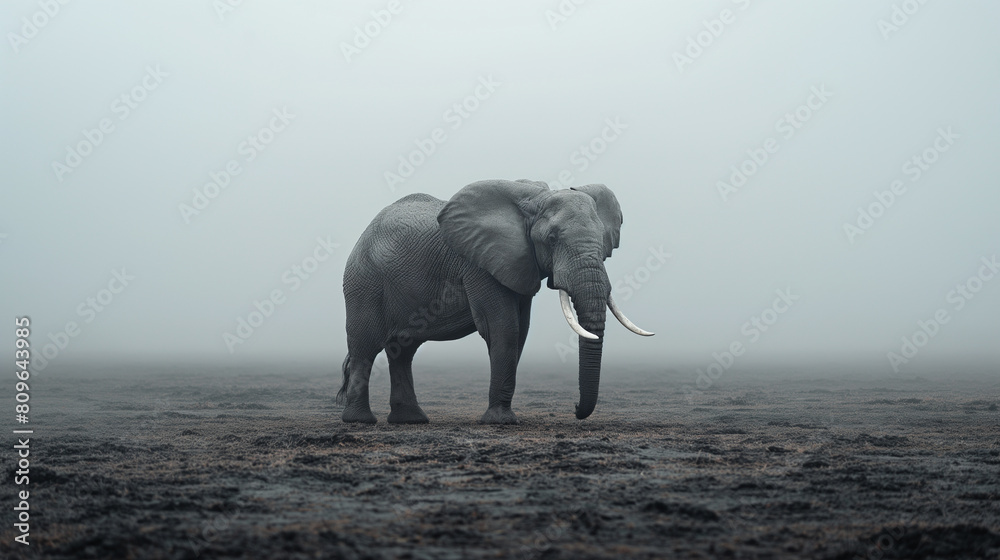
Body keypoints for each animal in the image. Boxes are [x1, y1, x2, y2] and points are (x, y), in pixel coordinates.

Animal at [337, 178, 653, 424]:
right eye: (551, 238)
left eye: (603, 241)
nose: (575, 409)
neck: (536, 199)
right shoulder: (479, 263)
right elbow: (503, 327)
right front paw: (501, 422)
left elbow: (520, 331)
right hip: (363, 283)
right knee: (365, 347)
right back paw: (360, 421)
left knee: (403, 351)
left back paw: (411, 421)